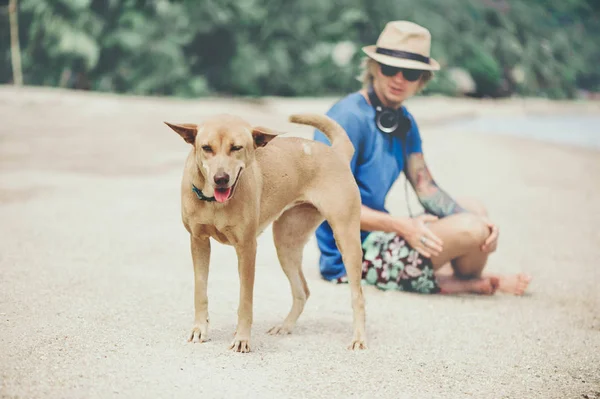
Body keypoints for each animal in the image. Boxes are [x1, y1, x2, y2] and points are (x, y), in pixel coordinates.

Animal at [164, 113, 366, 354]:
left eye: (236, 147)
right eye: (206, 148)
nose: (221, 178)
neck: (214, 202)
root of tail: (336, 152)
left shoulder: (247, 248)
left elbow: (245, 301)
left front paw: (242, 338)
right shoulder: (199, 242)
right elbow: (200, 291)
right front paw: (199, 329)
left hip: (346, 239)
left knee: (357, 296)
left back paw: (358, 338)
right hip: (285, 244)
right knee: (302, 290)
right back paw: (285, 326)